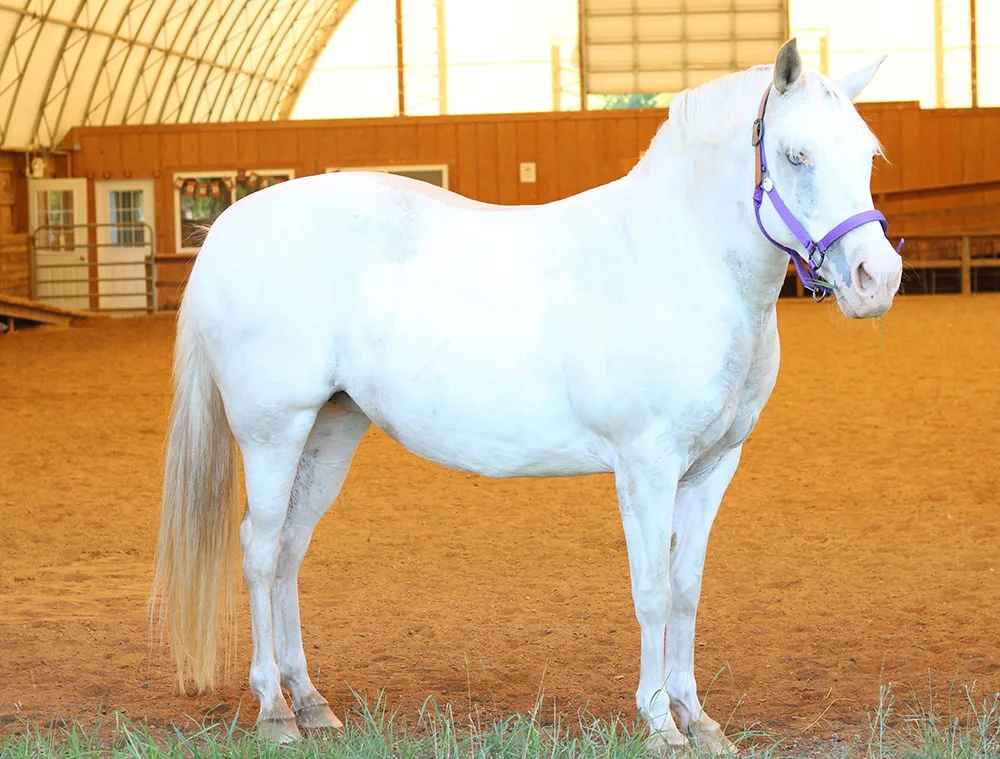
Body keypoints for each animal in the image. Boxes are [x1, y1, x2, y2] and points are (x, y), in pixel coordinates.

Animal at [152, 41, 904, 756]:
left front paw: (700, 719)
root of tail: (227, 228)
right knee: (258, 550)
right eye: (796, 154)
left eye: (866, 153)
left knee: (288, 551)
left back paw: (310, 702)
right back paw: (274, 712)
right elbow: (653, 590)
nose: (878, 277)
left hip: (330, 428)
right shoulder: (647, 465)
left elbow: (687, 589)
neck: (677, 262)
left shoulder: (713, 466)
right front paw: (660, 724)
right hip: (273, 432)